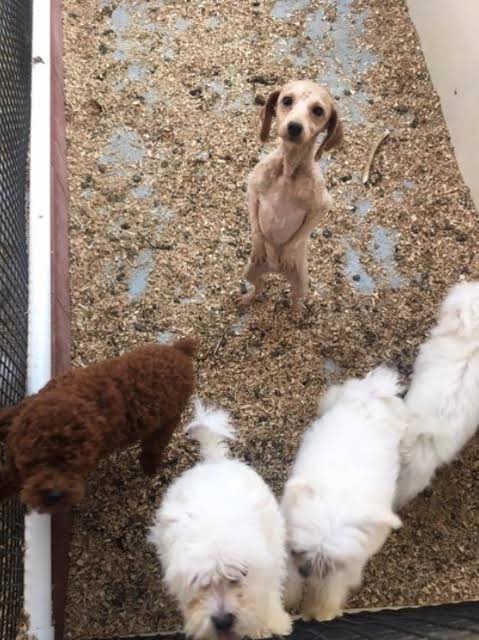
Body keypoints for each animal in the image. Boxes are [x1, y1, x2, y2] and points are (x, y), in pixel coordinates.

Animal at [0, 338, 197, 512]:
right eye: (35, 463)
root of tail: (179, 351)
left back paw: (149, 466)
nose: (54, 496)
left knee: (155, 444)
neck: (69, 398)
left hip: (169, 420)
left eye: (75, 465)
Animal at [148, 399, 292, 640]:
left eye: (239, 576)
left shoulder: (269, 564)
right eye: (198, 581)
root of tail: (213, 461)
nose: (223, 621)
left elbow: (270, 591)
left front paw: (274, 622)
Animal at [236, 79, 343, 311]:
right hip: (250, 271)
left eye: (318, 110)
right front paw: (259, 245)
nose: (294, 127)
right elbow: (256, 226)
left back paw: (296, 313)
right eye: (286, 100)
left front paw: (286, 253)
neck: (288, 172)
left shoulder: (322, 206)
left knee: (296, 299)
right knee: (259, 287)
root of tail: (275, 271)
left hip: (302, 283)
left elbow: (301, 234)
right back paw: (247, 298)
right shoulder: (252, 188)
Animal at [281, 367, 405, 621]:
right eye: (300, 549)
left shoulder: (346, 566)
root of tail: (372, 396)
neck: (339, 499)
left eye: (329, 562)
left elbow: (330, 588)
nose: (305, 570)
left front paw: (320, 611)